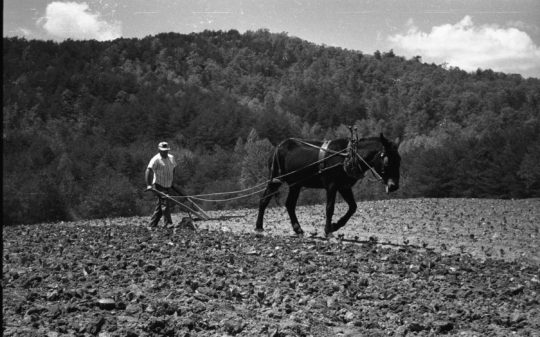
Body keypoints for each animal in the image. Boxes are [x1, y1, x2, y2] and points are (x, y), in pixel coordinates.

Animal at [254, 133, 400, 235]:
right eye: (387, 160)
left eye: (398, 159)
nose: (394, 186)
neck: (348, 157)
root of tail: (278, 147)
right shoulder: (332, 185)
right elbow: (330, 208)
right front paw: (328, 230)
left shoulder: (344, 187)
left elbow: (353, 207)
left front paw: (336, 225)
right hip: (275, 179)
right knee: (264, 200)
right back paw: (259, 227)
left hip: (295, 184)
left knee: (290, 204)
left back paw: (297, 228)